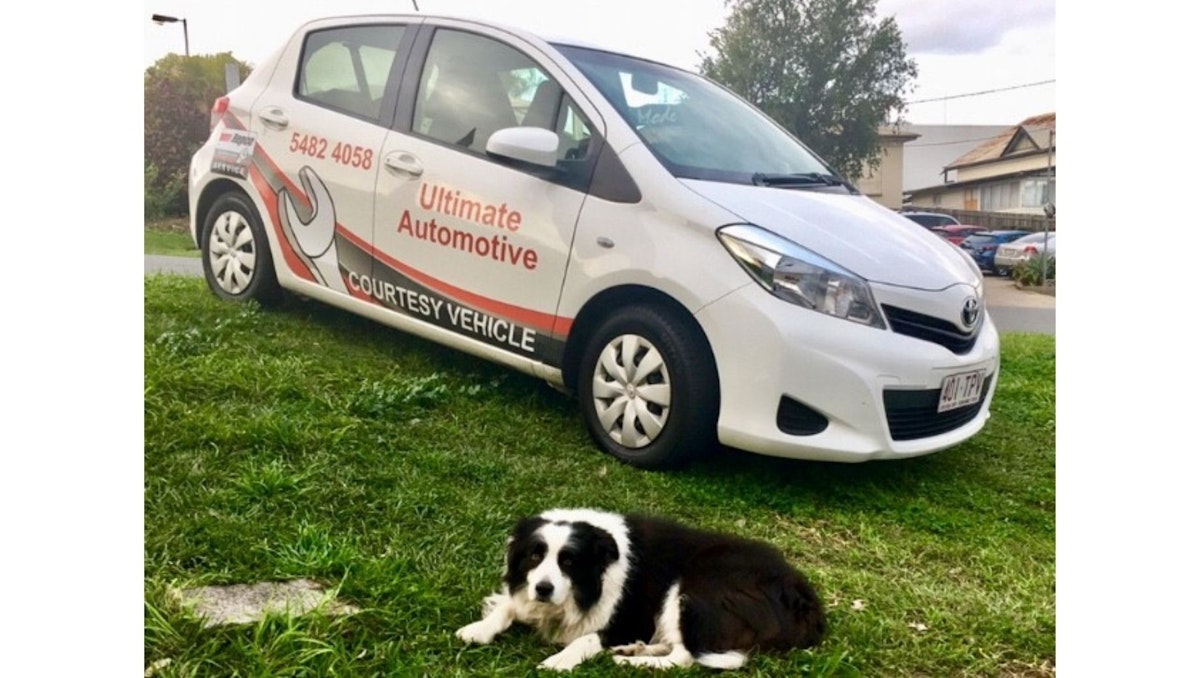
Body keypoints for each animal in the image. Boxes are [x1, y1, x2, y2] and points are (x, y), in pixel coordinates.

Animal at [451, 504, 825, 667]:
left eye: (569, 562)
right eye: (534, 555)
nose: (543, 589)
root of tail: (805, 599)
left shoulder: (631, 617)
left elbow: (587, 638)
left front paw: (559, 661)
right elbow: (507, 605)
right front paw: (479, 629)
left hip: (693, 587)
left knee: (685, 657)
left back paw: (631, 662)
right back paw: (636, 651)